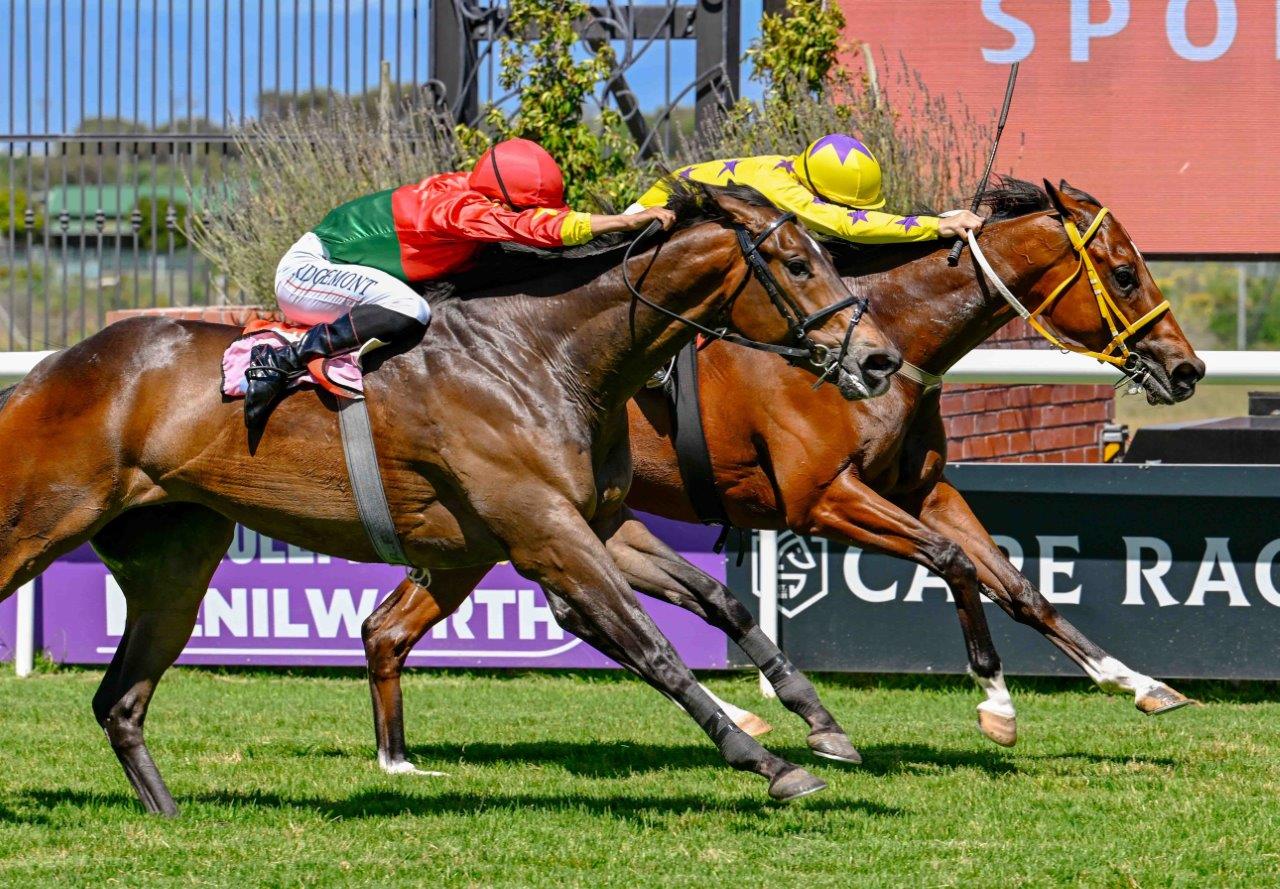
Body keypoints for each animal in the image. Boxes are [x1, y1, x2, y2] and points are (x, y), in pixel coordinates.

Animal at [0, 182, 906, 813]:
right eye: (798, 263)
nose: (879, 361)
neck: (544, 354)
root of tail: (51, 367)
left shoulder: (595, 521)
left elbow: (720, 599)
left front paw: (819, 723)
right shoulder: (545, 531)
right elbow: (651, 645)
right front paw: (770, 763)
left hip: (174, 561)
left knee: (119, 700)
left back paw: (168, 810)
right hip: (39, 523)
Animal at [366, 177, 1203, 767]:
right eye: (1124, 274)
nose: (1187, 369)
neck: (890, 337)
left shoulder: (922, 488)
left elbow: (1019, 585)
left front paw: (1138, 682)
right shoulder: (822, 498)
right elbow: (954, 562)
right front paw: (996, 704)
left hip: (490, 527)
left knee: (402, 625)